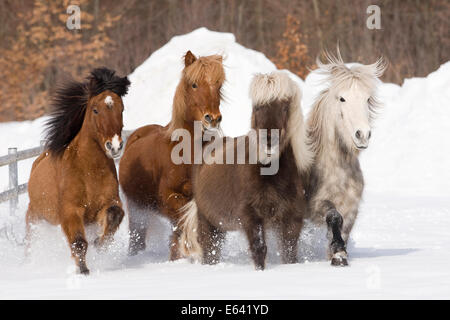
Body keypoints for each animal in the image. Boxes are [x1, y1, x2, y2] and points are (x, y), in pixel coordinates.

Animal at [26, 68, 129, 276]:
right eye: (95, 109)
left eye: (121, 109)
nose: (114, 146)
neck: (89, 170)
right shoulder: (70, 211)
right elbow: (79, 243)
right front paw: (83, 271)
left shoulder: (108, 203)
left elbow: (115, 215)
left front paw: (100, 244)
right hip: (35, 218)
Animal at [119, 51, 225, 258]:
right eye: (194, 84)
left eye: (219, 85)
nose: (213, 118)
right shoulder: (168, 199)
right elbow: (183, 222)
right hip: (137, 209)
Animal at [178, 71, 312, 268]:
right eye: (256, 107)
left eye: (285, 107)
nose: (268, 140)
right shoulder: (251, 216)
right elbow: (259, 249)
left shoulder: (292, 219)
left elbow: (289, 252)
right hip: (208, 222)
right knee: (209, 249)